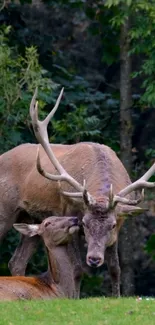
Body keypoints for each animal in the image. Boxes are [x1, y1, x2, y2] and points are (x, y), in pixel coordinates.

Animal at [0, 87, 155, 294]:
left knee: (16, 261)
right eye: (85, 223)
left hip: (31, 218)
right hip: (4, 210)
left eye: (112, 225)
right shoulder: (69, 214)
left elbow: (115, 269)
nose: (94, 259)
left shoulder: (119, 227)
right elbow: (77, 270)